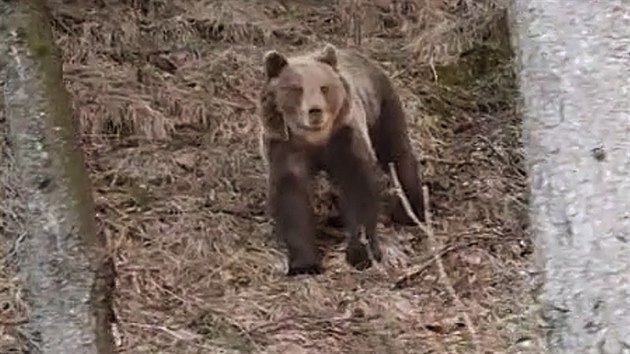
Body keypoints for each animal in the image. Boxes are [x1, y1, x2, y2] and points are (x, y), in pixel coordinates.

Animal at [260, 43, 428, 276]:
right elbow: (291, 197)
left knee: (397, 152)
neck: (316, 140)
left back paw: (410, 211)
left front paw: (361, 254)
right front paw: (304, 264)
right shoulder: (285, 146)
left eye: (324, 87)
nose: (315, 111)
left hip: (381, 106)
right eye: (296, 88)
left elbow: (358, 187)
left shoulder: (345, 137)